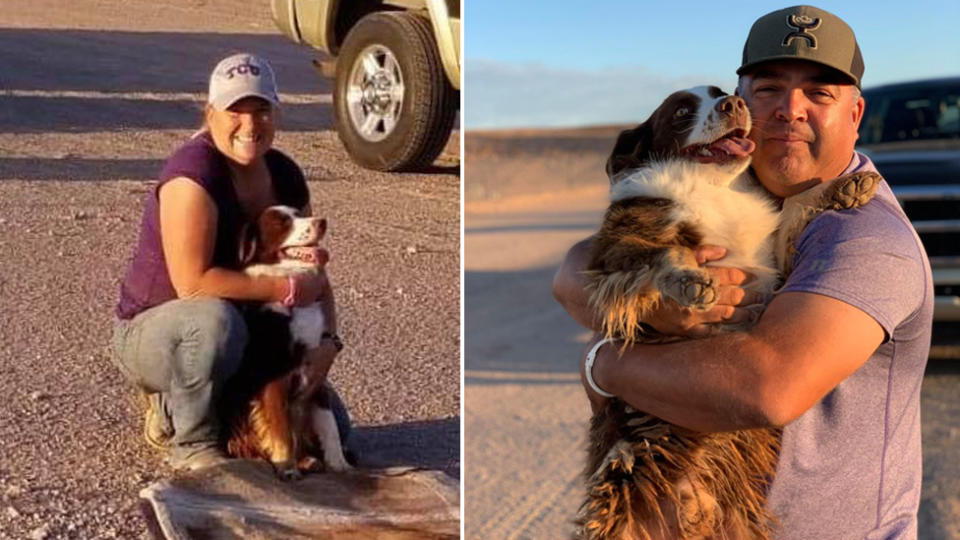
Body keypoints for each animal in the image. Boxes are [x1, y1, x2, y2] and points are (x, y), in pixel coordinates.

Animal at [224, 205, 352, 478]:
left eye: (300, 213)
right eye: (281, 223)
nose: (322, 222)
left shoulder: (318, 375)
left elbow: (330, 427)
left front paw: (339, 464)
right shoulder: (274, 379)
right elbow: (281, 430)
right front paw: (287, 468)